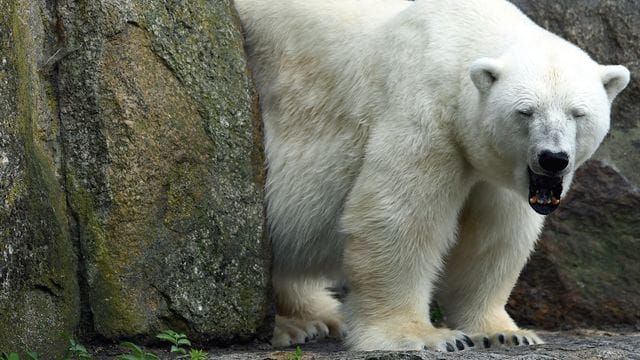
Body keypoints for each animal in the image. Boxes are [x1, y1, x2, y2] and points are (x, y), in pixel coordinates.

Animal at [232, 0, 628, 352]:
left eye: (578, 113)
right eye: (526, 111)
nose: (553, 159)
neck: (460, 38)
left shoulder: (498, 169)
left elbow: (493, 236)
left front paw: (505, 332)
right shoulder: (425, 113)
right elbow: (399, 219)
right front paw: (426, 336)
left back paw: (321, 315)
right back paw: (291, 327)